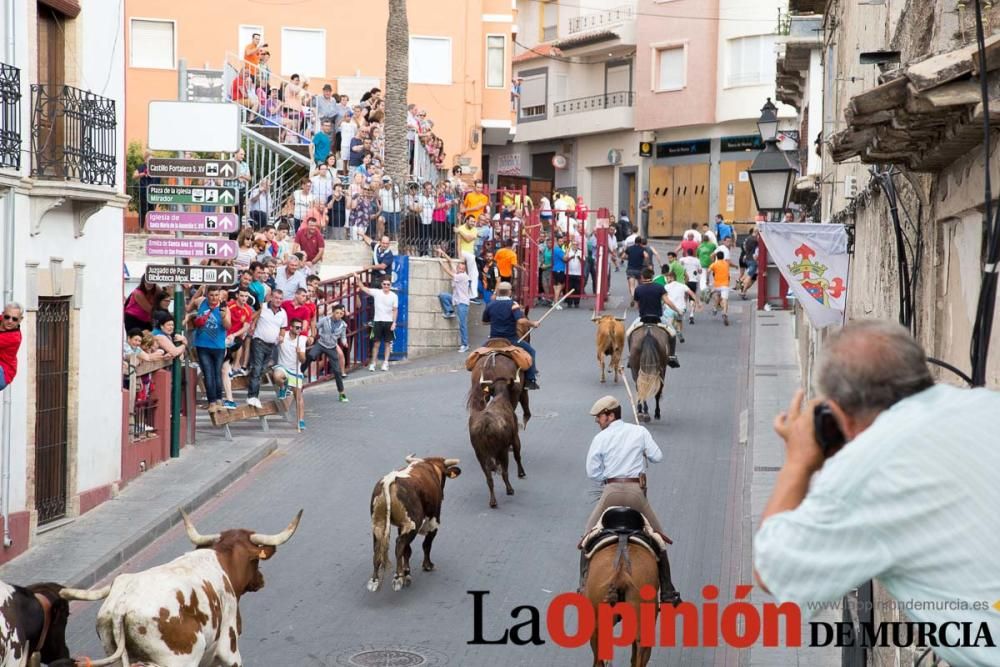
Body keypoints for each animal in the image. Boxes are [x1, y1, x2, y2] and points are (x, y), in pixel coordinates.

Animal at [57, 508, 300, 664]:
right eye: (256, 560)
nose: (261, 580)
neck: (222, 559)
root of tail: (122, 605)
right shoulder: (228, 648)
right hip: (180, 660)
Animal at [368, 456, 460, 592]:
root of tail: (389, 479)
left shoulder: (401, 526)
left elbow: (408, 550)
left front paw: (407, 572)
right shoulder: (434, 522)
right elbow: (426, 545)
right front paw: (427, 566)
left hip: (379, 524)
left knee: (378, 547)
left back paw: (374, 580)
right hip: (412, 524)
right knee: (399, 544)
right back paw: (397, 578)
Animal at [468, 378, 528, 508]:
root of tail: (485, 424)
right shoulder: (515, 438)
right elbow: (517, 456)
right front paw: (521, 473)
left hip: (479, 454)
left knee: (489, 478)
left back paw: (493, 501)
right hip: (502, 450)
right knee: (505, 472)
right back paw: (509, 490)